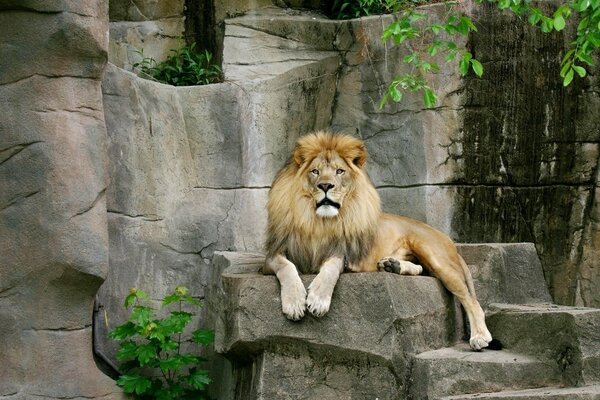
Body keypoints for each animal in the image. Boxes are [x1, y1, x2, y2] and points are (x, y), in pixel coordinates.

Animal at [262, 131, 492, 350]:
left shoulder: (344, 253)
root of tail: (446, 237)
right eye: (315, 171)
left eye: (339, 171)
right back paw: (393, 265)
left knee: (471, 299)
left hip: (434, 255)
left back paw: (480, 337)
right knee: (423, 270)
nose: (325, 185)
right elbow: (286, 267)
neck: (318, 223)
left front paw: (318, 299)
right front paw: (294, 303)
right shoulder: (272, 255)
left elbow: (330, 268)